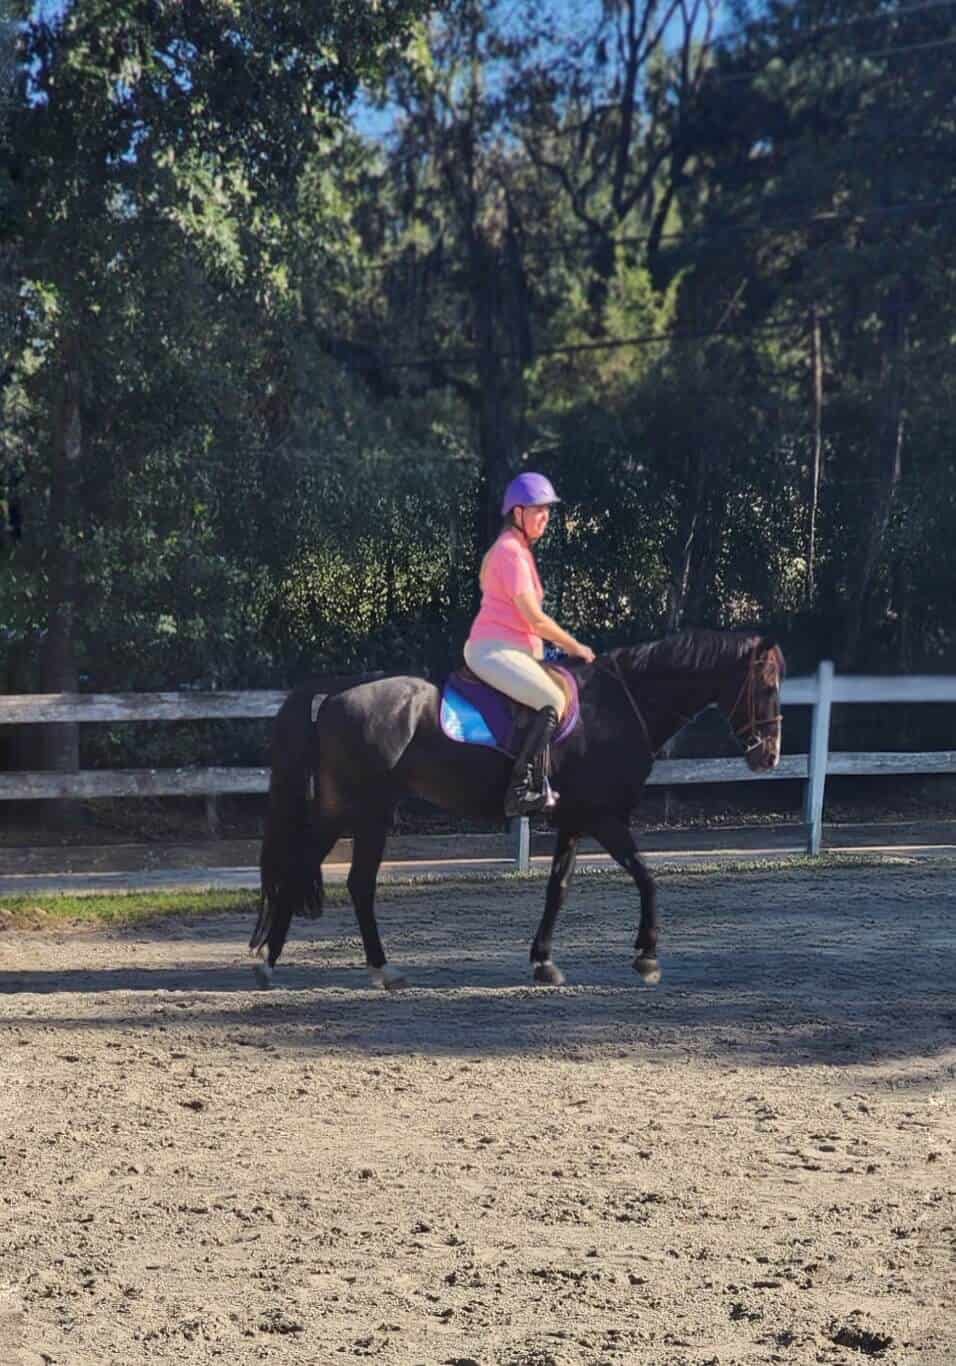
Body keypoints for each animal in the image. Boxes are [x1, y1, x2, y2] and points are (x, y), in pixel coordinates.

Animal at [251, 628, 784, 990]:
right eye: (766, 687)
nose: (769, 757)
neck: (617, 705)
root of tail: (336, 692)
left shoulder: (574, 820)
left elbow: (558, 890)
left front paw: (543, 961)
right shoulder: (605, 817)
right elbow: (646, 877)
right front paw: (647, 957)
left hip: (349, 812)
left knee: (323, 874)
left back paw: (298, 963)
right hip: (364, 812)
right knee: (347, 880)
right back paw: (345, 967)